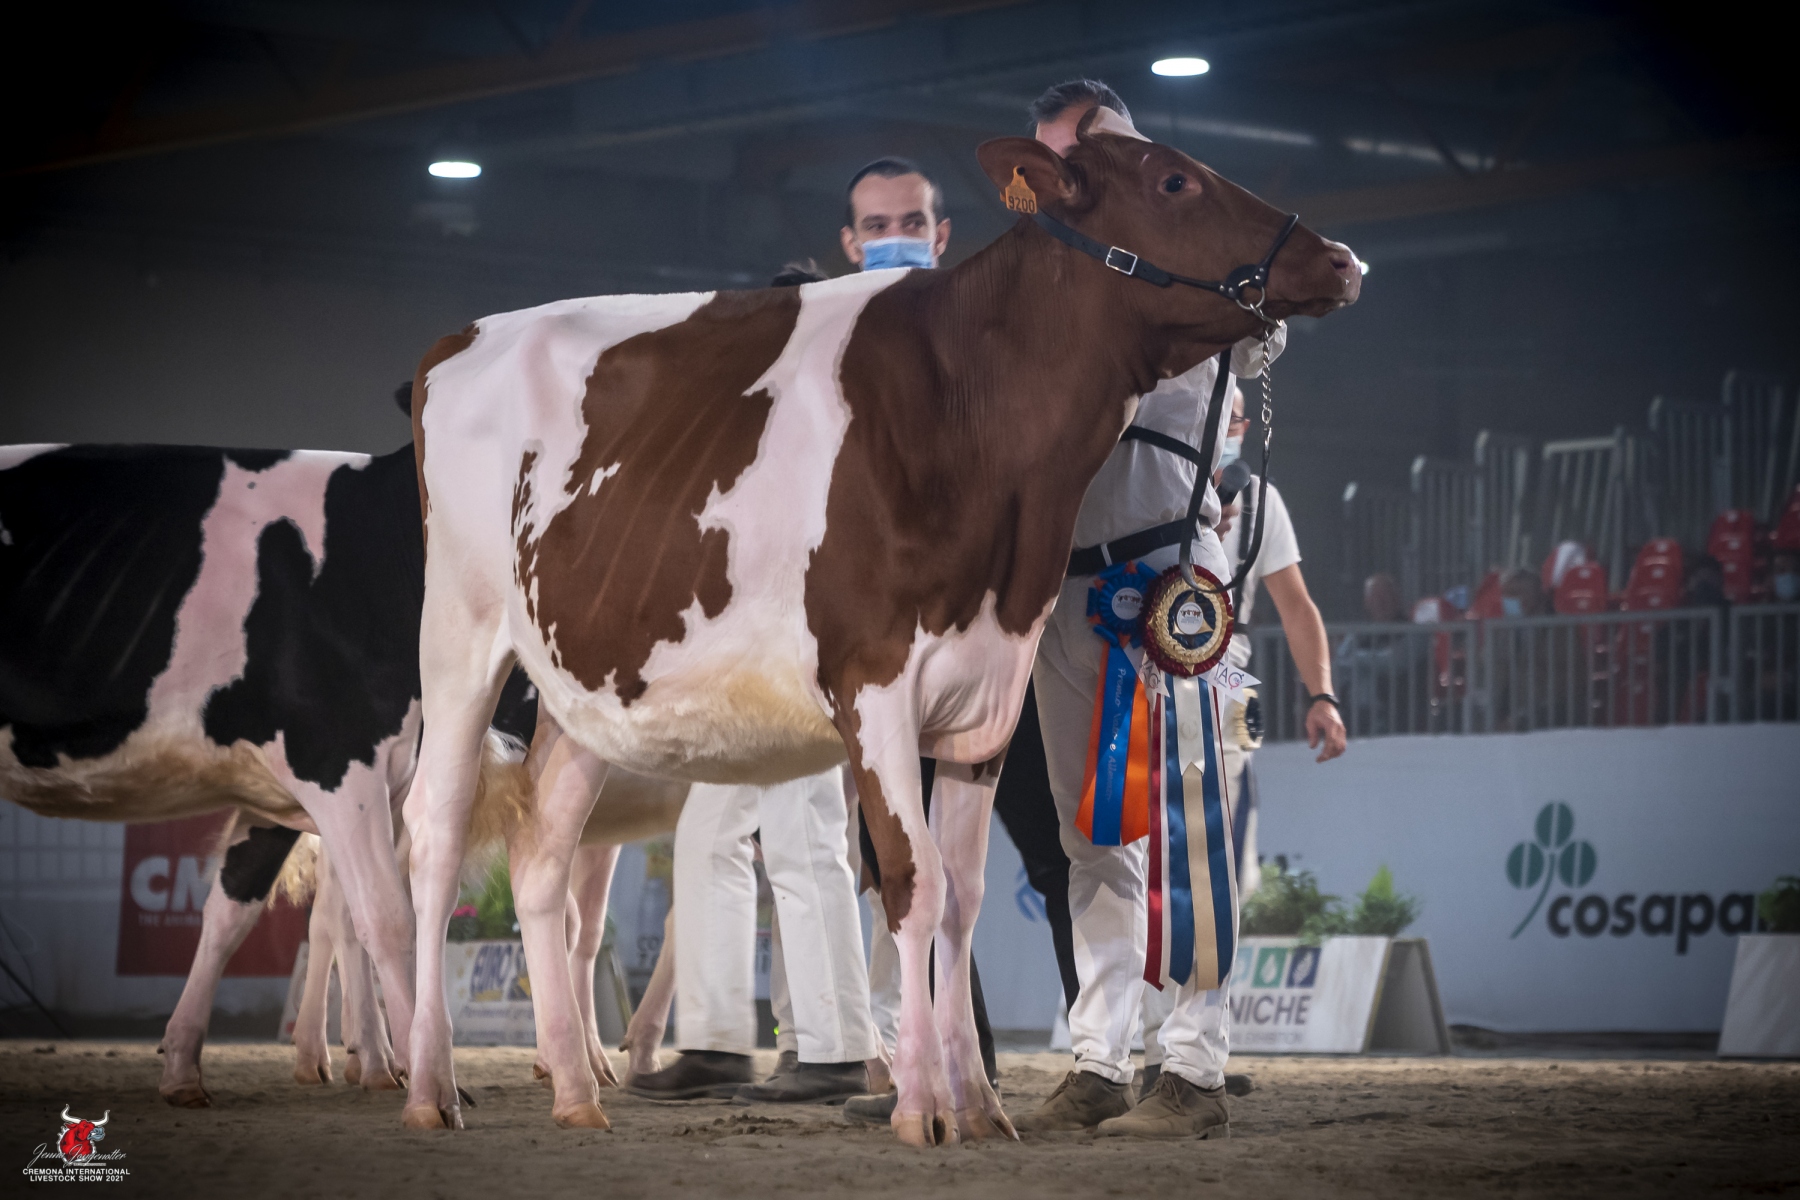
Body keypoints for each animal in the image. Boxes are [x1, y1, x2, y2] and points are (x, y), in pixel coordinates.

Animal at [400, 108, 1359, 1144]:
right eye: (1174, 181)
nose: (1342, 258)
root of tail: (458, 338)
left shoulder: (990, 690)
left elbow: (964, 897)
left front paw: (979, 1103)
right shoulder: (873, 682)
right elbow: (913, 881)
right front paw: (922, 1109)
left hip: (585, 685)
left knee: (541, 857)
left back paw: (578, 1091)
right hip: (460, 639)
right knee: (436, 829)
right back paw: (429, 1086)